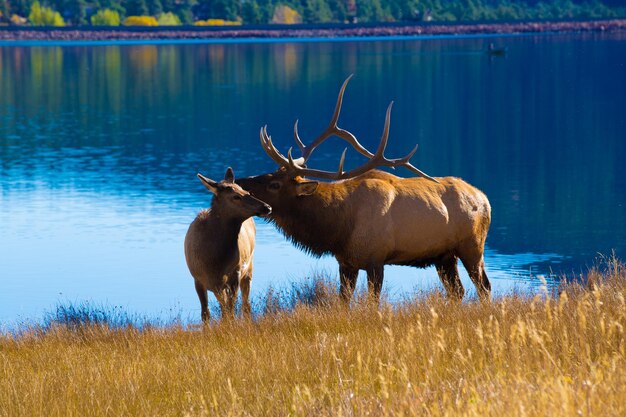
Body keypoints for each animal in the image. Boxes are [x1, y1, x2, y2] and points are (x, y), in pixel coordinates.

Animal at [183, 167, 270, 322]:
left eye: (247, 192)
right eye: (236, 196)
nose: (267, 207)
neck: (214, 261)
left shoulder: (235, 273)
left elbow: (229, 310)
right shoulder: (197, 278)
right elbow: (206, 313)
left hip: (249, 268)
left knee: (245, 304)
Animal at [236, 75, 490, 300]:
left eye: (275, 184)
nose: (239, 182)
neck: (338, 228)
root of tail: (484, 198)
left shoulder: (376, 260)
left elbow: (372, 301)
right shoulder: (346, 262)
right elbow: (343, 300)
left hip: (472, 246)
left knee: (484, 286)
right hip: (444, 256)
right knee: (457, 291)